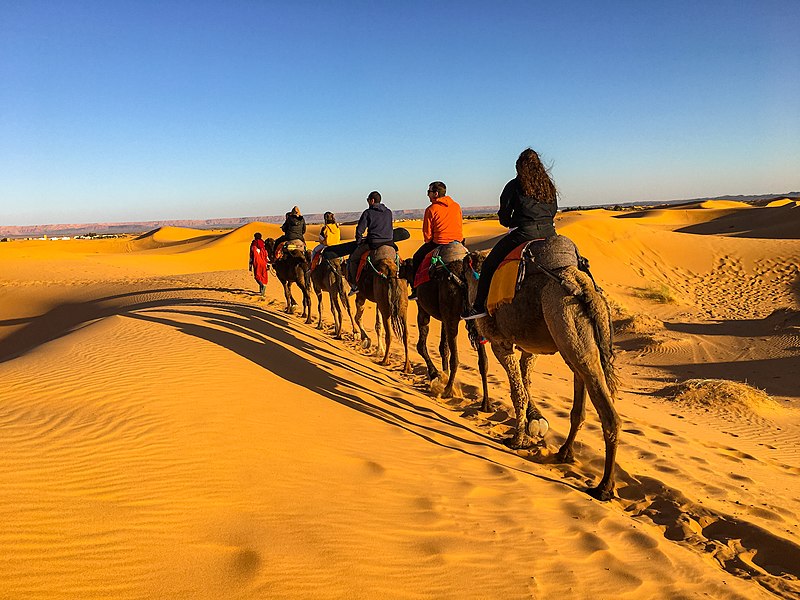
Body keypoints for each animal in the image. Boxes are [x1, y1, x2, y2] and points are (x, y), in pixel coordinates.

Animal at [398, 246, 488, 410]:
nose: (398, 271)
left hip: (451, 314)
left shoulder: (423, 309)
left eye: (404, 267)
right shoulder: (444, 318)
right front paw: (442, 374)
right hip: (474, 317)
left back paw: (448, 390)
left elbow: (421, 345)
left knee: (455, 358)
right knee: (483, 360)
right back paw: (485, 404)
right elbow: (443, 348)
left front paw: (436, 374)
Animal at [462, 248, 620, 502]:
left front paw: (517, 440)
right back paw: (564, 453)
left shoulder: (500, 343)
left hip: (565, 321)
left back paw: (604, 487)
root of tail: (585, 290)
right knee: (580, 397)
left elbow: (517, 392)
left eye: (463, 278)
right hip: (578, 342)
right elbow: (525, 381)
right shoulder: (530, 349)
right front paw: (535, 422)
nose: (467, 316)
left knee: (607, 413)